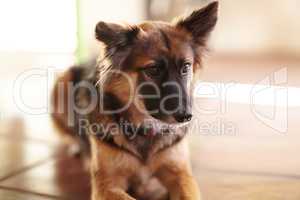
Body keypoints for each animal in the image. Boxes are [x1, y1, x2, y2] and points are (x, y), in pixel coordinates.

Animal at [51, 1, 218, 200]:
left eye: (185, 67)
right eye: (153, 69)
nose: (186, 117)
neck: (144, 128)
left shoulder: (180, 173)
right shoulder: (106, 184)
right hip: (61, 84)